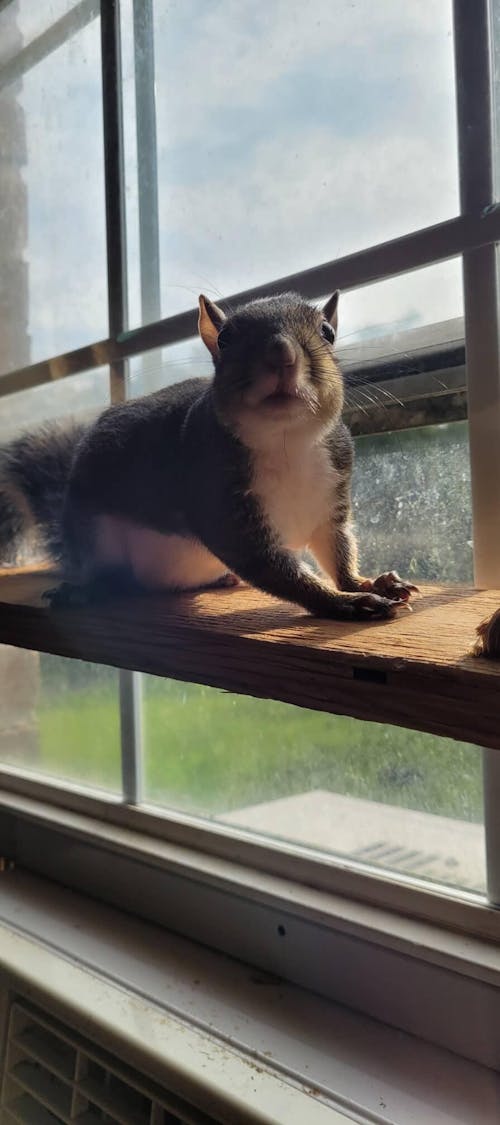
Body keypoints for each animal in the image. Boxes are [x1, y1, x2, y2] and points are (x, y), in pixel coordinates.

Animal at [0, 291, 417, 618]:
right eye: (226, 338)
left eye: (327, 333)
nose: (281, 354)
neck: (288, 441)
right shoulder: (221, 504)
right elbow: (275, 570)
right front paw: (343, 602)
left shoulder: (331, 502)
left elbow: (338, 551)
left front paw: (368, 583)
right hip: (95, 535)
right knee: (106, 572)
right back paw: (86, 589)